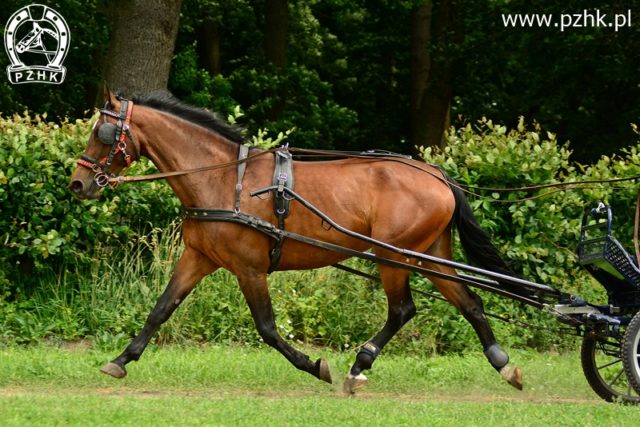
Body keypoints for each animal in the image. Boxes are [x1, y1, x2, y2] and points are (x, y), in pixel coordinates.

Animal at [70, 90, 524, 394]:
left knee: (402, 310)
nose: (78, 183)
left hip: (393, 255)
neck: (223, 179)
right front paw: (120, 360)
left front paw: (314, 365)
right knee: (469, 302)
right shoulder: (198, 257)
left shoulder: (250, 267)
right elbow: (161, 309)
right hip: (429, 254)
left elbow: (268, 329)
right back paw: (503, 364)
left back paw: (358, 367)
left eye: (103, 133)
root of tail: (438, 175)